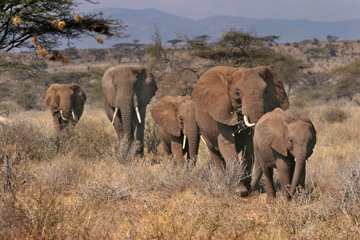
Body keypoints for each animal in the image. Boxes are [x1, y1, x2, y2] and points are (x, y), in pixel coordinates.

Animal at [193, 66, 288, 197]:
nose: (251, 188)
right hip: (202, 127)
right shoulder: (221, 111)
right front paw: (240, 190)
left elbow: (249, 146)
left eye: (265, 92)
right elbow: (227, 145)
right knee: (215, 153)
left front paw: (245, 188)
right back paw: (222, 184)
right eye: (237, 93)